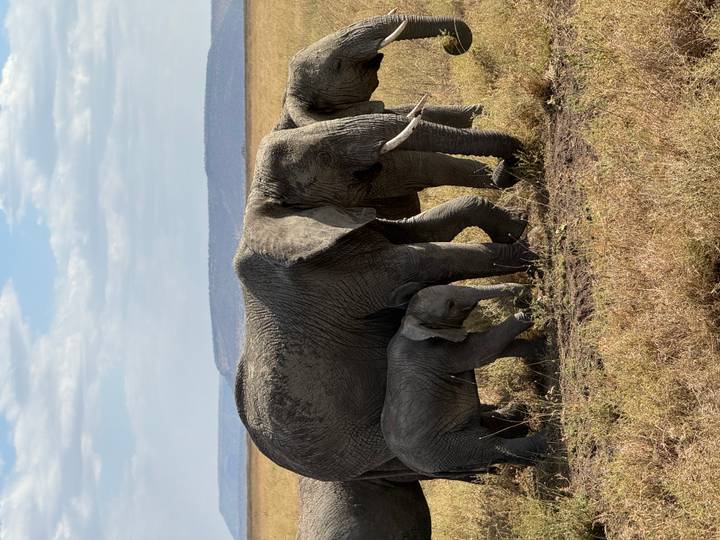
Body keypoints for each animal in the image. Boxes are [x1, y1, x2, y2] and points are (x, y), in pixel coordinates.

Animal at [382, 284, 548, 476]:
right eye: (450, 305)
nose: (525, 290)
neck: (407, 321)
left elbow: (497, 349)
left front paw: (542, 349)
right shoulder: (435, 351)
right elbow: (484, 347)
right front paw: (535, 308)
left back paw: (520, 412)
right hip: (444, 448)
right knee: (488, 446)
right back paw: (549, 436)